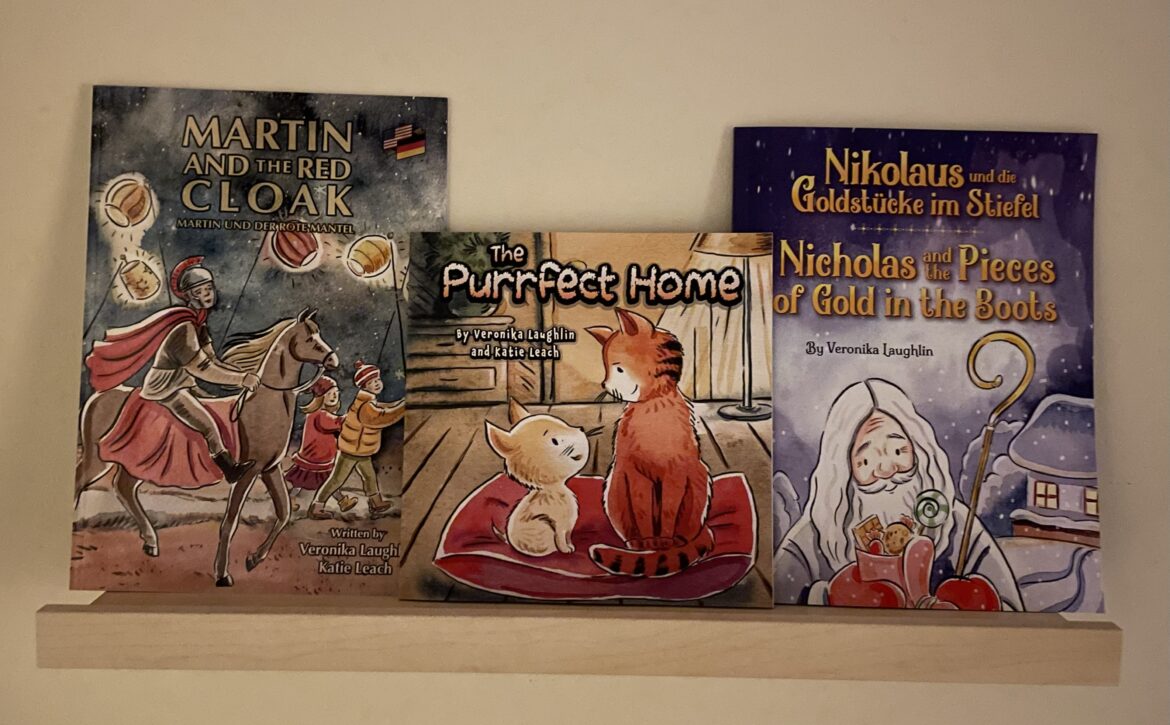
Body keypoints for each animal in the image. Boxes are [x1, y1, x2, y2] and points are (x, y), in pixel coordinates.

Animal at [74, 307, 340, 586]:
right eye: (310, 339)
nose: (333, 360)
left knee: (123, 488)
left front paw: (253, 559)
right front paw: (222, 575)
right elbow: (230, 523)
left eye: (319, 334)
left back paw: (151, 542)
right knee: (81, 481)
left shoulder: (270, 468)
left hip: (135, 465)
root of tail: (98, 396)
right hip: (98, 458)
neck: (261, 406)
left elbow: (284, 512)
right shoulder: (248, 472)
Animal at [485, 399, 586, 557]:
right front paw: (566, 551)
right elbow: (561, 539)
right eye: (555, 441)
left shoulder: (568, 528)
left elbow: (568, 537)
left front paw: (572, 546)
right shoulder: (559, 527)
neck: (553, 490)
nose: (581, 429)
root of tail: (510, 542)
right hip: (543, 525)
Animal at [586, 307, 714, 577]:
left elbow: (668, 511)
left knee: (685, 531)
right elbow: (642, 509)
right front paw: (647, 543)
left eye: (618, 370)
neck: (653, 404)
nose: (604, 384)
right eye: (606, 369)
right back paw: (636, 543)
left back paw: (677, 542)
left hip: (698, 477)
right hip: (615, 484)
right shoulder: (635, 474)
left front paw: (663, 542)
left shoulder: (675, 475)